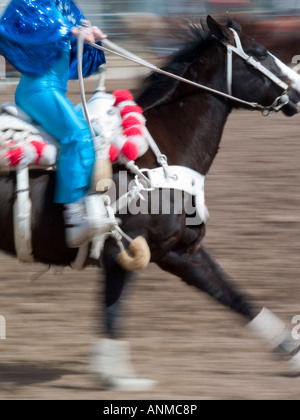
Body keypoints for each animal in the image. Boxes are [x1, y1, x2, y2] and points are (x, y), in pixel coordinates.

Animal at [0, 15, 300, 390]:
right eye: (259, 52)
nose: (298, 91)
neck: (156, 159)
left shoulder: (181, 251)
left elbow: (234, 296)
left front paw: (292, 352)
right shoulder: (122, 253)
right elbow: (113, 310)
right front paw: (118, 376)